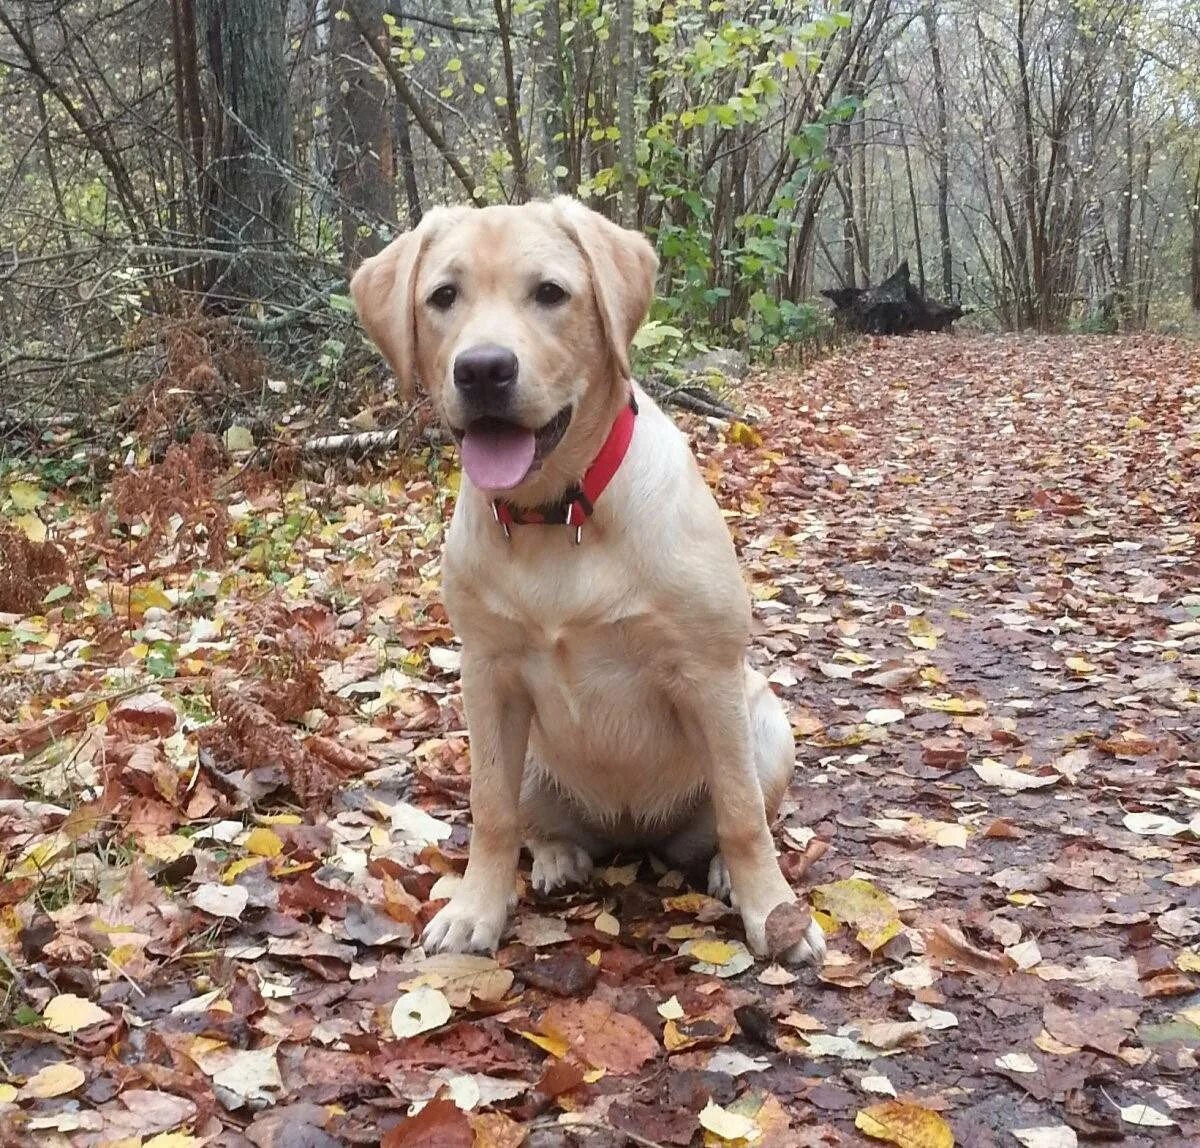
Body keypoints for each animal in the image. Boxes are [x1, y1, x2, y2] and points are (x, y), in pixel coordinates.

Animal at [350, 199, 825, 969]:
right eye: (443, 296)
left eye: (551, 293)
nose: (483, 370)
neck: (559, 514)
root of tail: (631, 833)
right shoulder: (487, 677)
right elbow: (490, 812)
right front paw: (475, 910)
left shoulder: (708, 673)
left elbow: (742, 813)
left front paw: (775, 913)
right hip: (529, 756)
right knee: (532, 820)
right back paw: (555, 857)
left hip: (764, 724)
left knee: (737, 813)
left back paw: (725, 873)